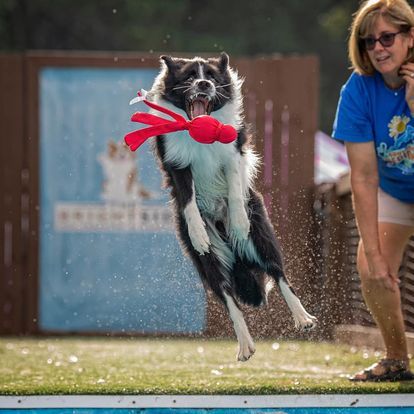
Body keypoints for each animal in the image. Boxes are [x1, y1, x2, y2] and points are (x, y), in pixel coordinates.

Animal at [146, 52, 316, 361]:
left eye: (212, 77)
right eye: (190, 76)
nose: (203, 84)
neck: (198, 132)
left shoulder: (232, 154)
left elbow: (235, 189)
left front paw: (238, 222)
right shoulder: (177, 166)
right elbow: (188, 202)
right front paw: (198, 234)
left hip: (260, 235)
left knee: (278, 273)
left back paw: (302, 317)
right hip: (210, 263)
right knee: (228, 298)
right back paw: (245, 344)